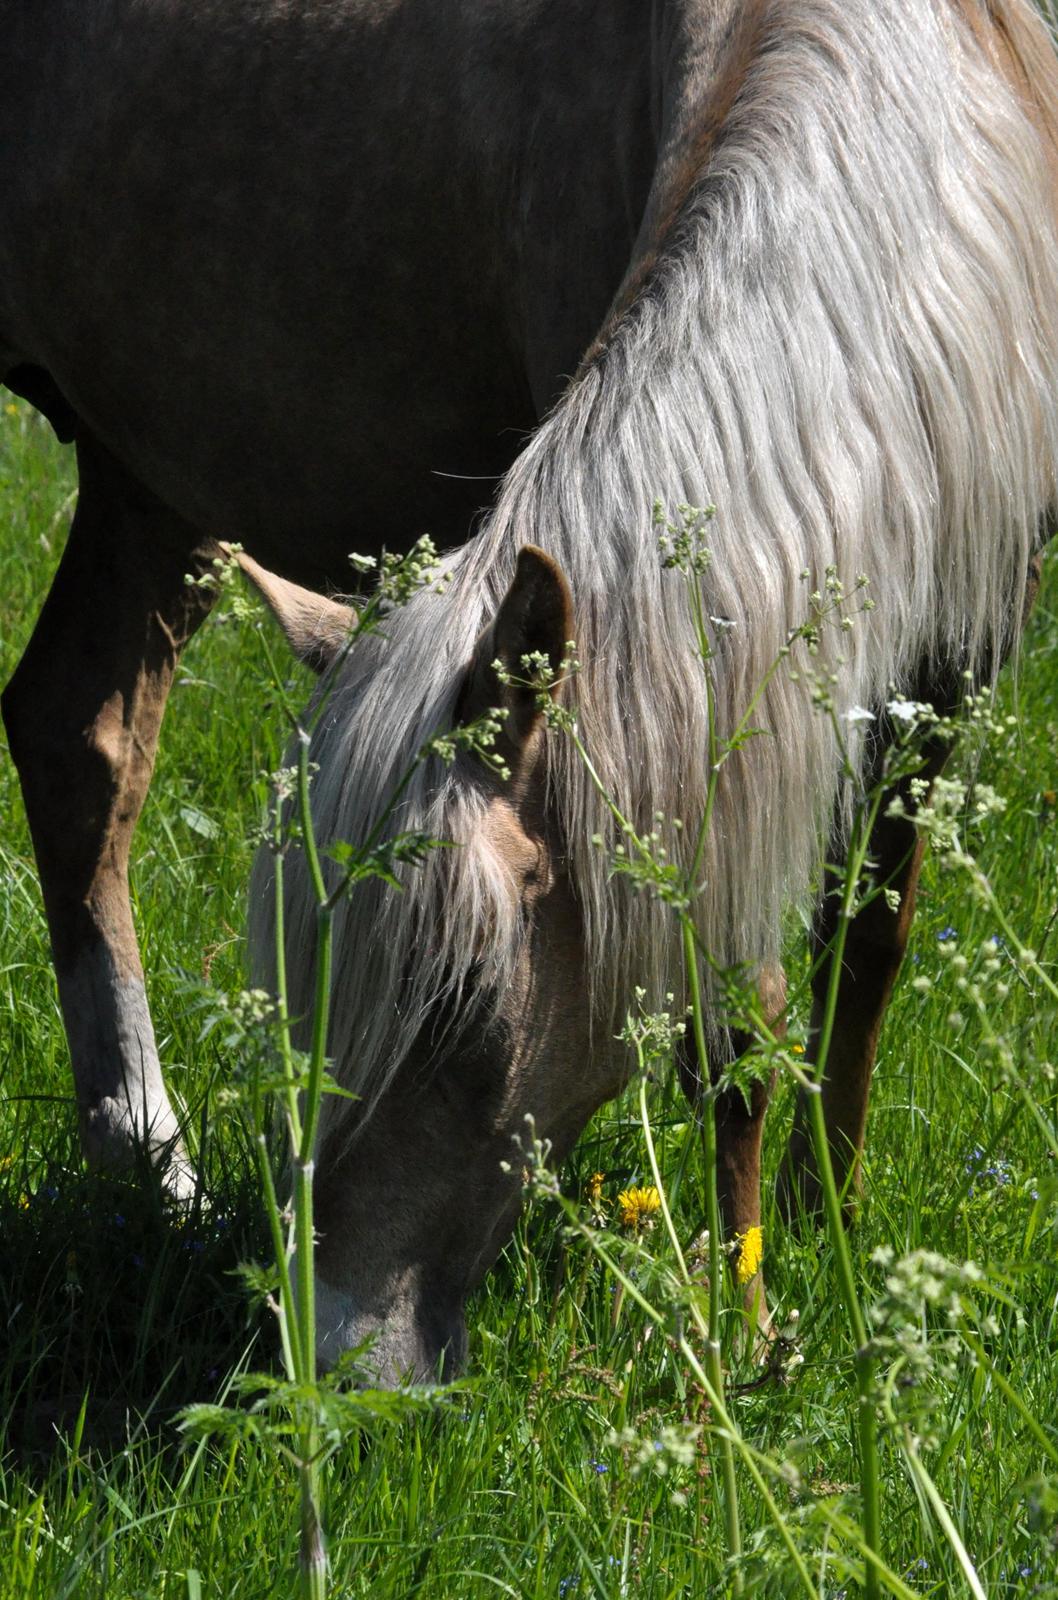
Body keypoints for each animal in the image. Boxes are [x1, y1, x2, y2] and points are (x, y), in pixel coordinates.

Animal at [2, 0, 1056, 1382]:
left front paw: (813, 1231)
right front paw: (740, 1318)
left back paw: (147, 1164)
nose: (337, 1362)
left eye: (461, 1006)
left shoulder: (953, 641)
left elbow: (864, 946)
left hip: (146, 474)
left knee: (80, 740)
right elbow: (730, 1008)